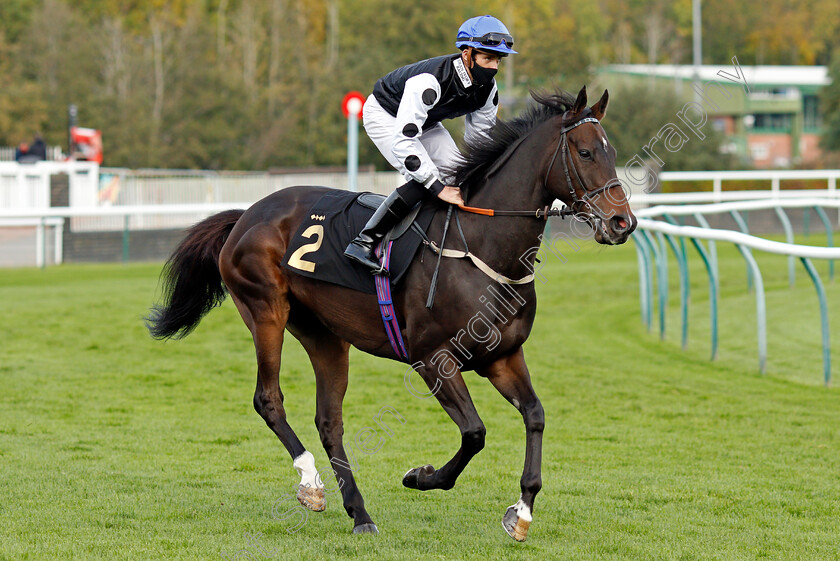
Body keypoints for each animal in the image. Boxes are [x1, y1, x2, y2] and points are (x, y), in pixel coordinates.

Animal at [148, 85, 636, 540]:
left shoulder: (503, 357)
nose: (622, 223)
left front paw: (522, 512)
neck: (482, 246)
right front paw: (421, 476)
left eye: (612, 153)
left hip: (325, 335)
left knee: (329, 420)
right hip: (266, 312)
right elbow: (475, 433)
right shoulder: (433, 359)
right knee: (269, 399)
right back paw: (311, 484)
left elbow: (535, 415)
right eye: (586, 152)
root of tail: (248, 214)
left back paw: (359, 513)